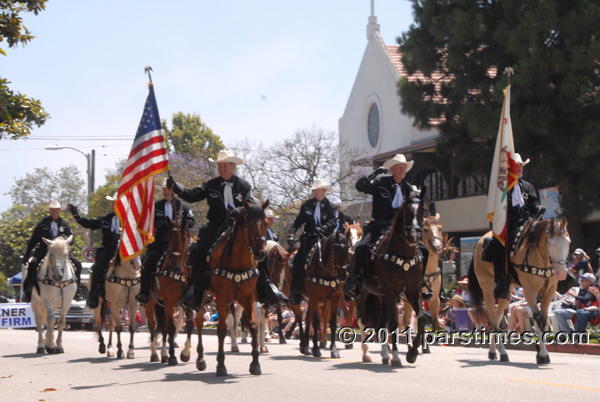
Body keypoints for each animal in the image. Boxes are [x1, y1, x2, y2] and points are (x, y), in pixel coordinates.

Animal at [144, 218, 193, 366]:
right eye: (169, 237)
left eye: (184, 237)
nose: (175, 267)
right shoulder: (169, 302)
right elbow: (171, 328)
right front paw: (173, 356)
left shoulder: (187, 302)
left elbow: (189, 324)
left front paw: (185, 353)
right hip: (151, 304)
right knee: (152, 326)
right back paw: (155, 353)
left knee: (164, 327)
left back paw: (164, 354)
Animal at [193, 201, 268, 376]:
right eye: (248, 223)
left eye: (266, 223)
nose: (260, 253)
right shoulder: (221, 298)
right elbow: (220, 329)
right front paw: (221, 365)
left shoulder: (247, 298)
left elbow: (253, 325)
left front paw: (255, 363)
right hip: (202, 297)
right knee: (199, 323)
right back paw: (200, 359)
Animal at [300, 229, 352, 358]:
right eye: (335, 250)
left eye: (347, 249)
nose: (343, 275)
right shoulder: (315, 297)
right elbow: (316, 321)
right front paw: (316, 349)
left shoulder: (335, 298)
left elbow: (332, 322)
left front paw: (334, 349)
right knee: (300, 318)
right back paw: (304, 344)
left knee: (307, 318)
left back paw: (306, 347)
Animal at [356, 187, 426, 366]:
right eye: (407, 211)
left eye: (423, 210)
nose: (414, 236)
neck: (403, 254)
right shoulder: (390, 291)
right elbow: (394, 323)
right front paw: (396, 357)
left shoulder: (412, 292)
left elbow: (421, 318)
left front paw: (412, 353)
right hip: (363, 294)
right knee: (363, 321)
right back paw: (367, 353)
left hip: (381, 297)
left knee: (381, 323)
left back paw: (384, 354)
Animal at [468, 217, 572, 364]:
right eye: (550, 244)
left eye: (568, 242)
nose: (562, 273)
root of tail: (479, 241)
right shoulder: (529, 289)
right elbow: (538, 318)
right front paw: (543, 354)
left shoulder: (550, 290)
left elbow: (544, 320)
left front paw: (540, 351)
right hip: (487, 288)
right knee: (493, 317)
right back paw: (503, 352)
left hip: (506, 292)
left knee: (498, 316)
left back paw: (493, 351)